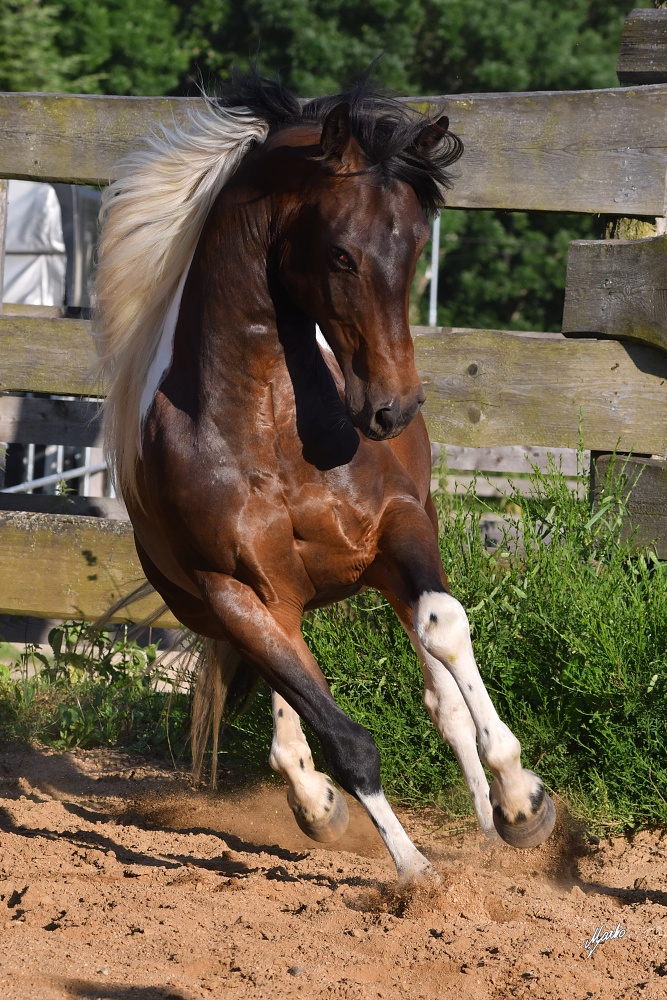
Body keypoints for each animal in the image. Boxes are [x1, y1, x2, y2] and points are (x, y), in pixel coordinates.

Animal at [92, 74, 552, 880]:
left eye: (417, 246)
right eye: (340, 255)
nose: (392, 409)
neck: (275, 431)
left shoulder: (402, 527)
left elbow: (445, 628)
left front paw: (522, 801)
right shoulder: (236, 592)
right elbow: (344, 739)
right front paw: (415, 873)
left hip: (380, 569)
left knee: (440, 696)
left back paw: (492, 821)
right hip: (267, 605)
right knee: (294, 702)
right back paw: (316, 805)